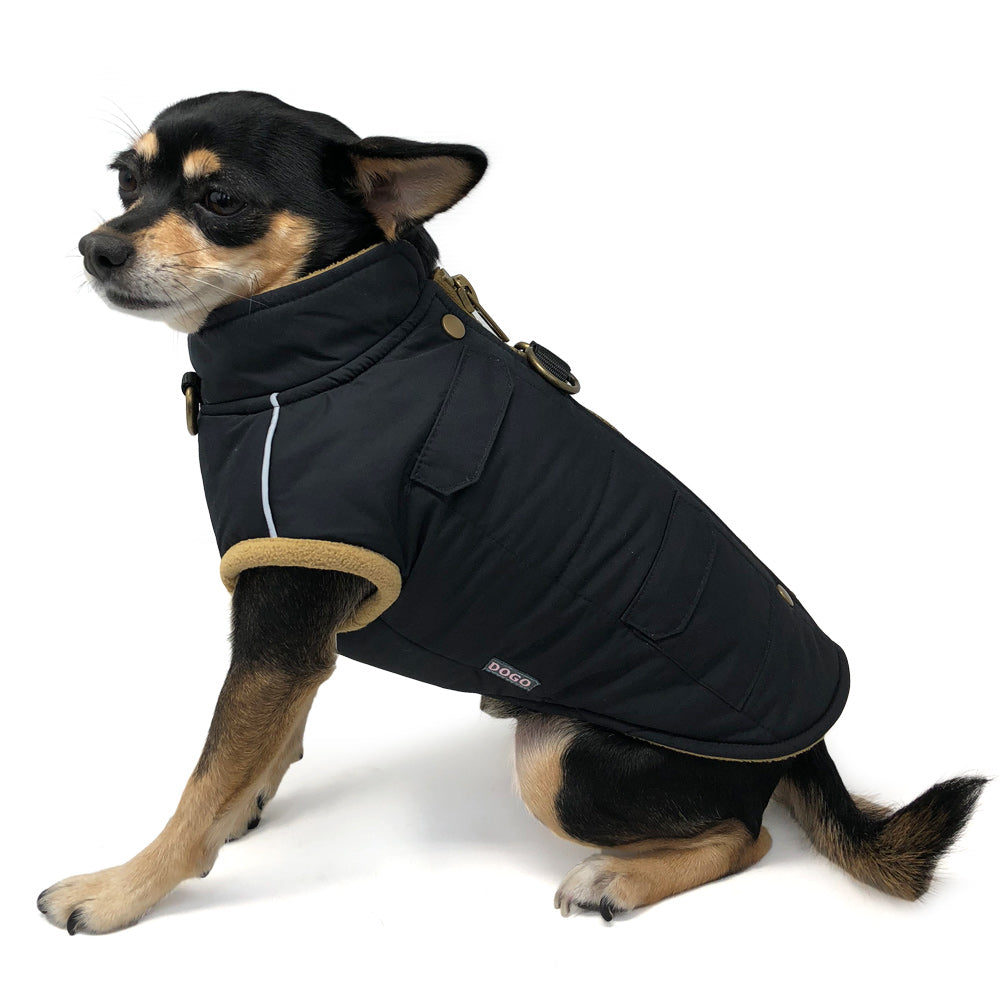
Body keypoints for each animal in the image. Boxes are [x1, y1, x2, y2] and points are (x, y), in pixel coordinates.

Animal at [40, 91, 985, 933]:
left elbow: (202, 780)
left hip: (557, 755)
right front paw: (246, 805)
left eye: (221, 200)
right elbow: (261, 744)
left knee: (749, 838)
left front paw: (123, 890)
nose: (94, 247)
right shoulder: (295, 634)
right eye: (126, 182)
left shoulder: (283, 618)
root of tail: (808, 747)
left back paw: (620, 879)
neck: (329, 351)